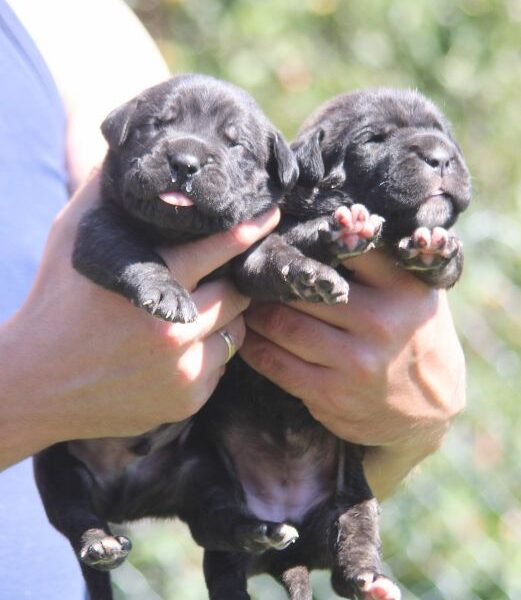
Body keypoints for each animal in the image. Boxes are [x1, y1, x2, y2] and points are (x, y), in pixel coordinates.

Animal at [173, 85, 470, 600]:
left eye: (444, 134)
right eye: (374, 139)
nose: (441, 156)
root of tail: (285, 554)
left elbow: (445, 264)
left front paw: (437, 248)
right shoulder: (257, 247)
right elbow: (280, 250)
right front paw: (331, 243)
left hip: (351, 503)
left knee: (348, 550)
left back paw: (369, 580)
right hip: (217, 500)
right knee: (223, 555)